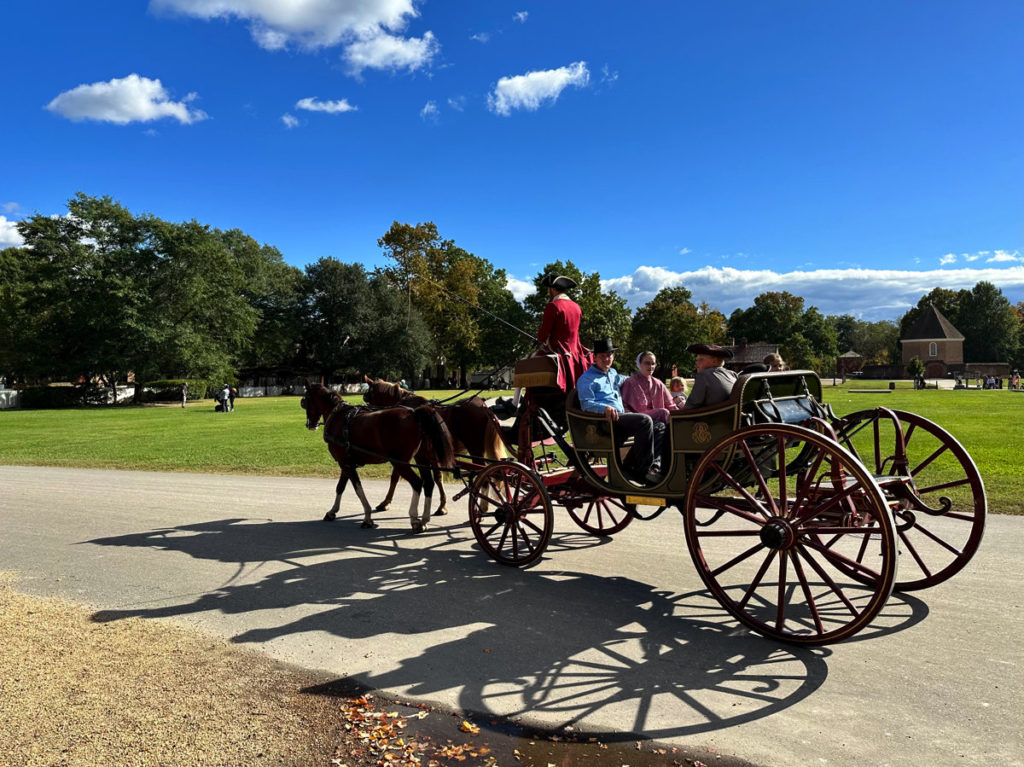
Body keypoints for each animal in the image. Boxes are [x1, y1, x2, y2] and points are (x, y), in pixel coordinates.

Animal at [299, 378, 452, 532]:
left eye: (306, 399)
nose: (310, 424)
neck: (339, 417)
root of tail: (415, 414)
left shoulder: (345, 464)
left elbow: (358, 488)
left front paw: (367, 517)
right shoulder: (346, 463)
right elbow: (340, 487)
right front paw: (332, 511)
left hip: (400, 462)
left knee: (417, 483)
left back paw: (414, 518)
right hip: (421, 458)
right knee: (429, 483)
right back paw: (425, 519)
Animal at [364, 376, 507, 514]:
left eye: (369, 395)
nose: (367, 412)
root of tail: (482, 405)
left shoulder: (407, 455)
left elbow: (395, 477)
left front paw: (386, 502)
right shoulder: (431, 455)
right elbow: (438, 478)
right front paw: (442, 505)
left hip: (475, 449)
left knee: (485, 475)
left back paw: (483, 506)